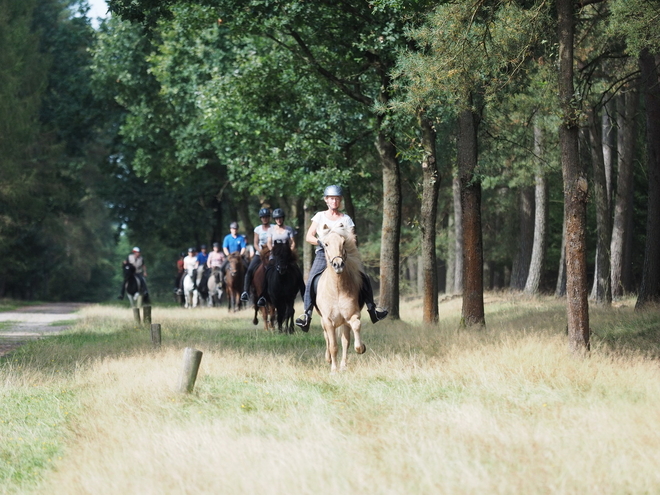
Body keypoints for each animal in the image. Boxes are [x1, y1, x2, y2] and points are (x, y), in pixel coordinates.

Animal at [316, 224, 366, 372]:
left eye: (343, 242)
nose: (338, 264)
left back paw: (343, 366)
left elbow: (356, 326)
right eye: (326, 244)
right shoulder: (328, 321)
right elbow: (333, 345)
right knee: (327, 338)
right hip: (324, 321)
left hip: (343, 323)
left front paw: (360, 348)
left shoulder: (352, 315)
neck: (337, 289)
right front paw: (333, 370)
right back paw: (329, 360)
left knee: (345, 341)